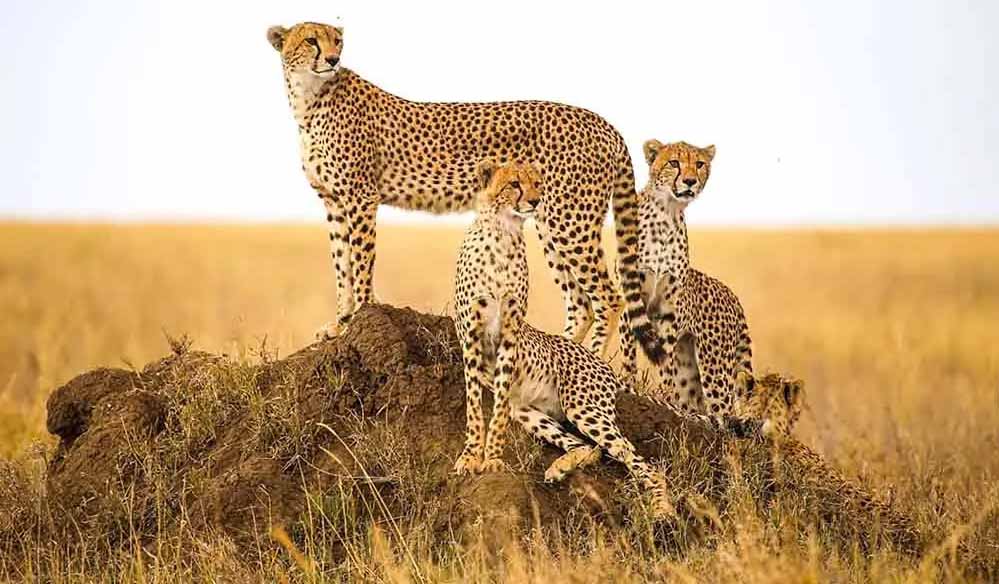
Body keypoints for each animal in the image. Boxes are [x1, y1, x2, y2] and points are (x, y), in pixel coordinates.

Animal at [266, 22, 664, 366]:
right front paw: (340, 322)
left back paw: (590, 360)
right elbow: (341, 265)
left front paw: (360, 316)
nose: (333, 59)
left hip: (569, 221)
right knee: (580, 303)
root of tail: (604, 122)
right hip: (549, 220)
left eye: (338, 40)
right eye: (311, 40)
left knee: (609, 298)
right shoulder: (333, 201)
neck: (309, 98)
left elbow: (361, 263)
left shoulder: (360, 196)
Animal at [452, 158, 674, 516]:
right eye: (514, 184)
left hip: (583, 407)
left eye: (537, 184)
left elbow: (496, 412)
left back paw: (662, 509)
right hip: (530, 411)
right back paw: (559, 468)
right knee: (589, 447)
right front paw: (472, 456)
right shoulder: (471, 338)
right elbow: (475, 406)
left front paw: (493, 459)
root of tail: (600, 363)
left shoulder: (510, 336)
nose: (535, 201)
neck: (503, 232)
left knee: (638, 460)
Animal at [617, 140, 755, 428]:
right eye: (674, 163)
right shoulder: (630, 297)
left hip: (715, 366)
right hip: (692, 369)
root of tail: (732, 295)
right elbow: (629, 352)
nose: (690, 181)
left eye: (699, 164)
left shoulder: (669, 308)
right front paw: (627, 383)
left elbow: (664, 361)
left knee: (724, 409)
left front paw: (664, 398)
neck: (667, 213)